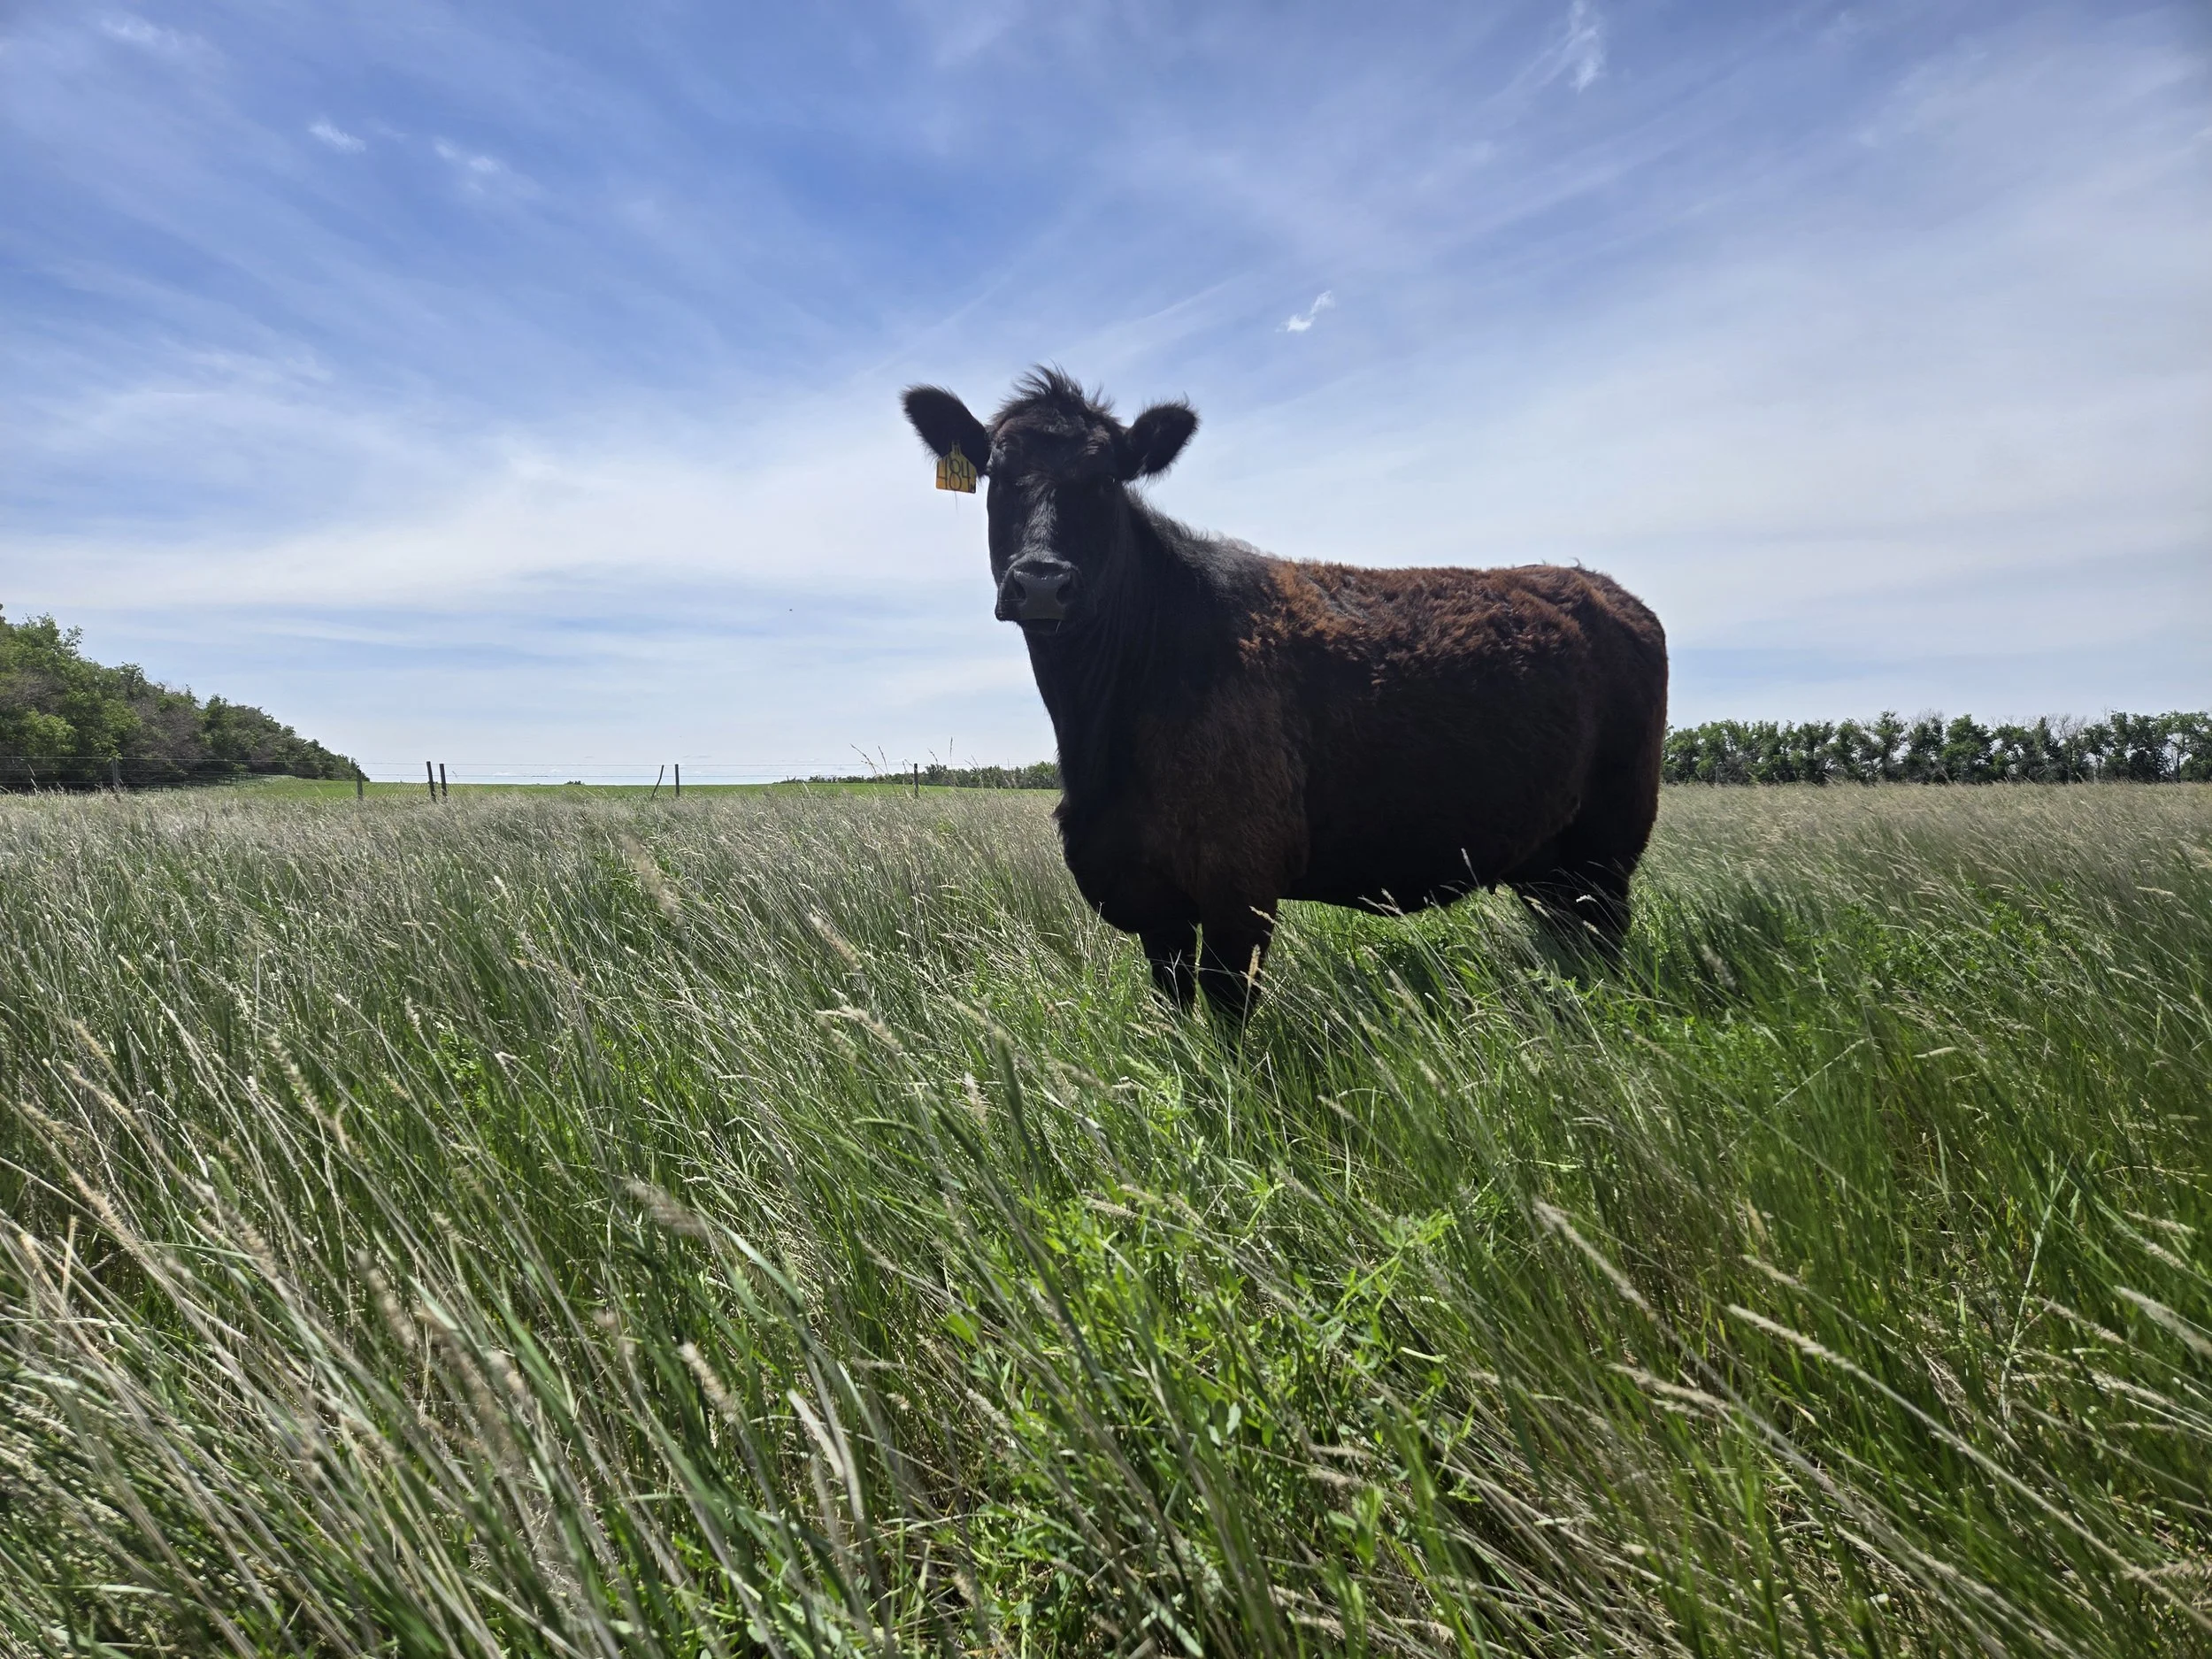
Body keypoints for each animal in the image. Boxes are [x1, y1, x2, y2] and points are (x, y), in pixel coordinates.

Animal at [902, 369, 1668, 1018]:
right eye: (999, 473)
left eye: (1106, 478)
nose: (1042, 581)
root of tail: (1602, 587)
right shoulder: (1152, 899)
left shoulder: (1239, 882)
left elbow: (1228, 1018)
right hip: (1549, 858)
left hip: (1609, 844)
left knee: (1603, 941)